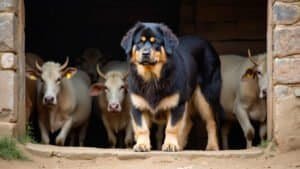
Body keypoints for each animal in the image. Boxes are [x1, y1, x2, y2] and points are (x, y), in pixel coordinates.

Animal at [120, 22, 224, 152]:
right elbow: (142, 128)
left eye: (156, 43)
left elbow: (172, 128)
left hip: (205, 96)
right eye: (140, 42)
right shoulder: (138, 106)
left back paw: (212, 146)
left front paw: (170, 145)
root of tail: (208, 44)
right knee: (189, 122)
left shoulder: (177, 104)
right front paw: (142, 145)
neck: (151, 78)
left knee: (211, 122)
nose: (145, 53)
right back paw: (181, 144)